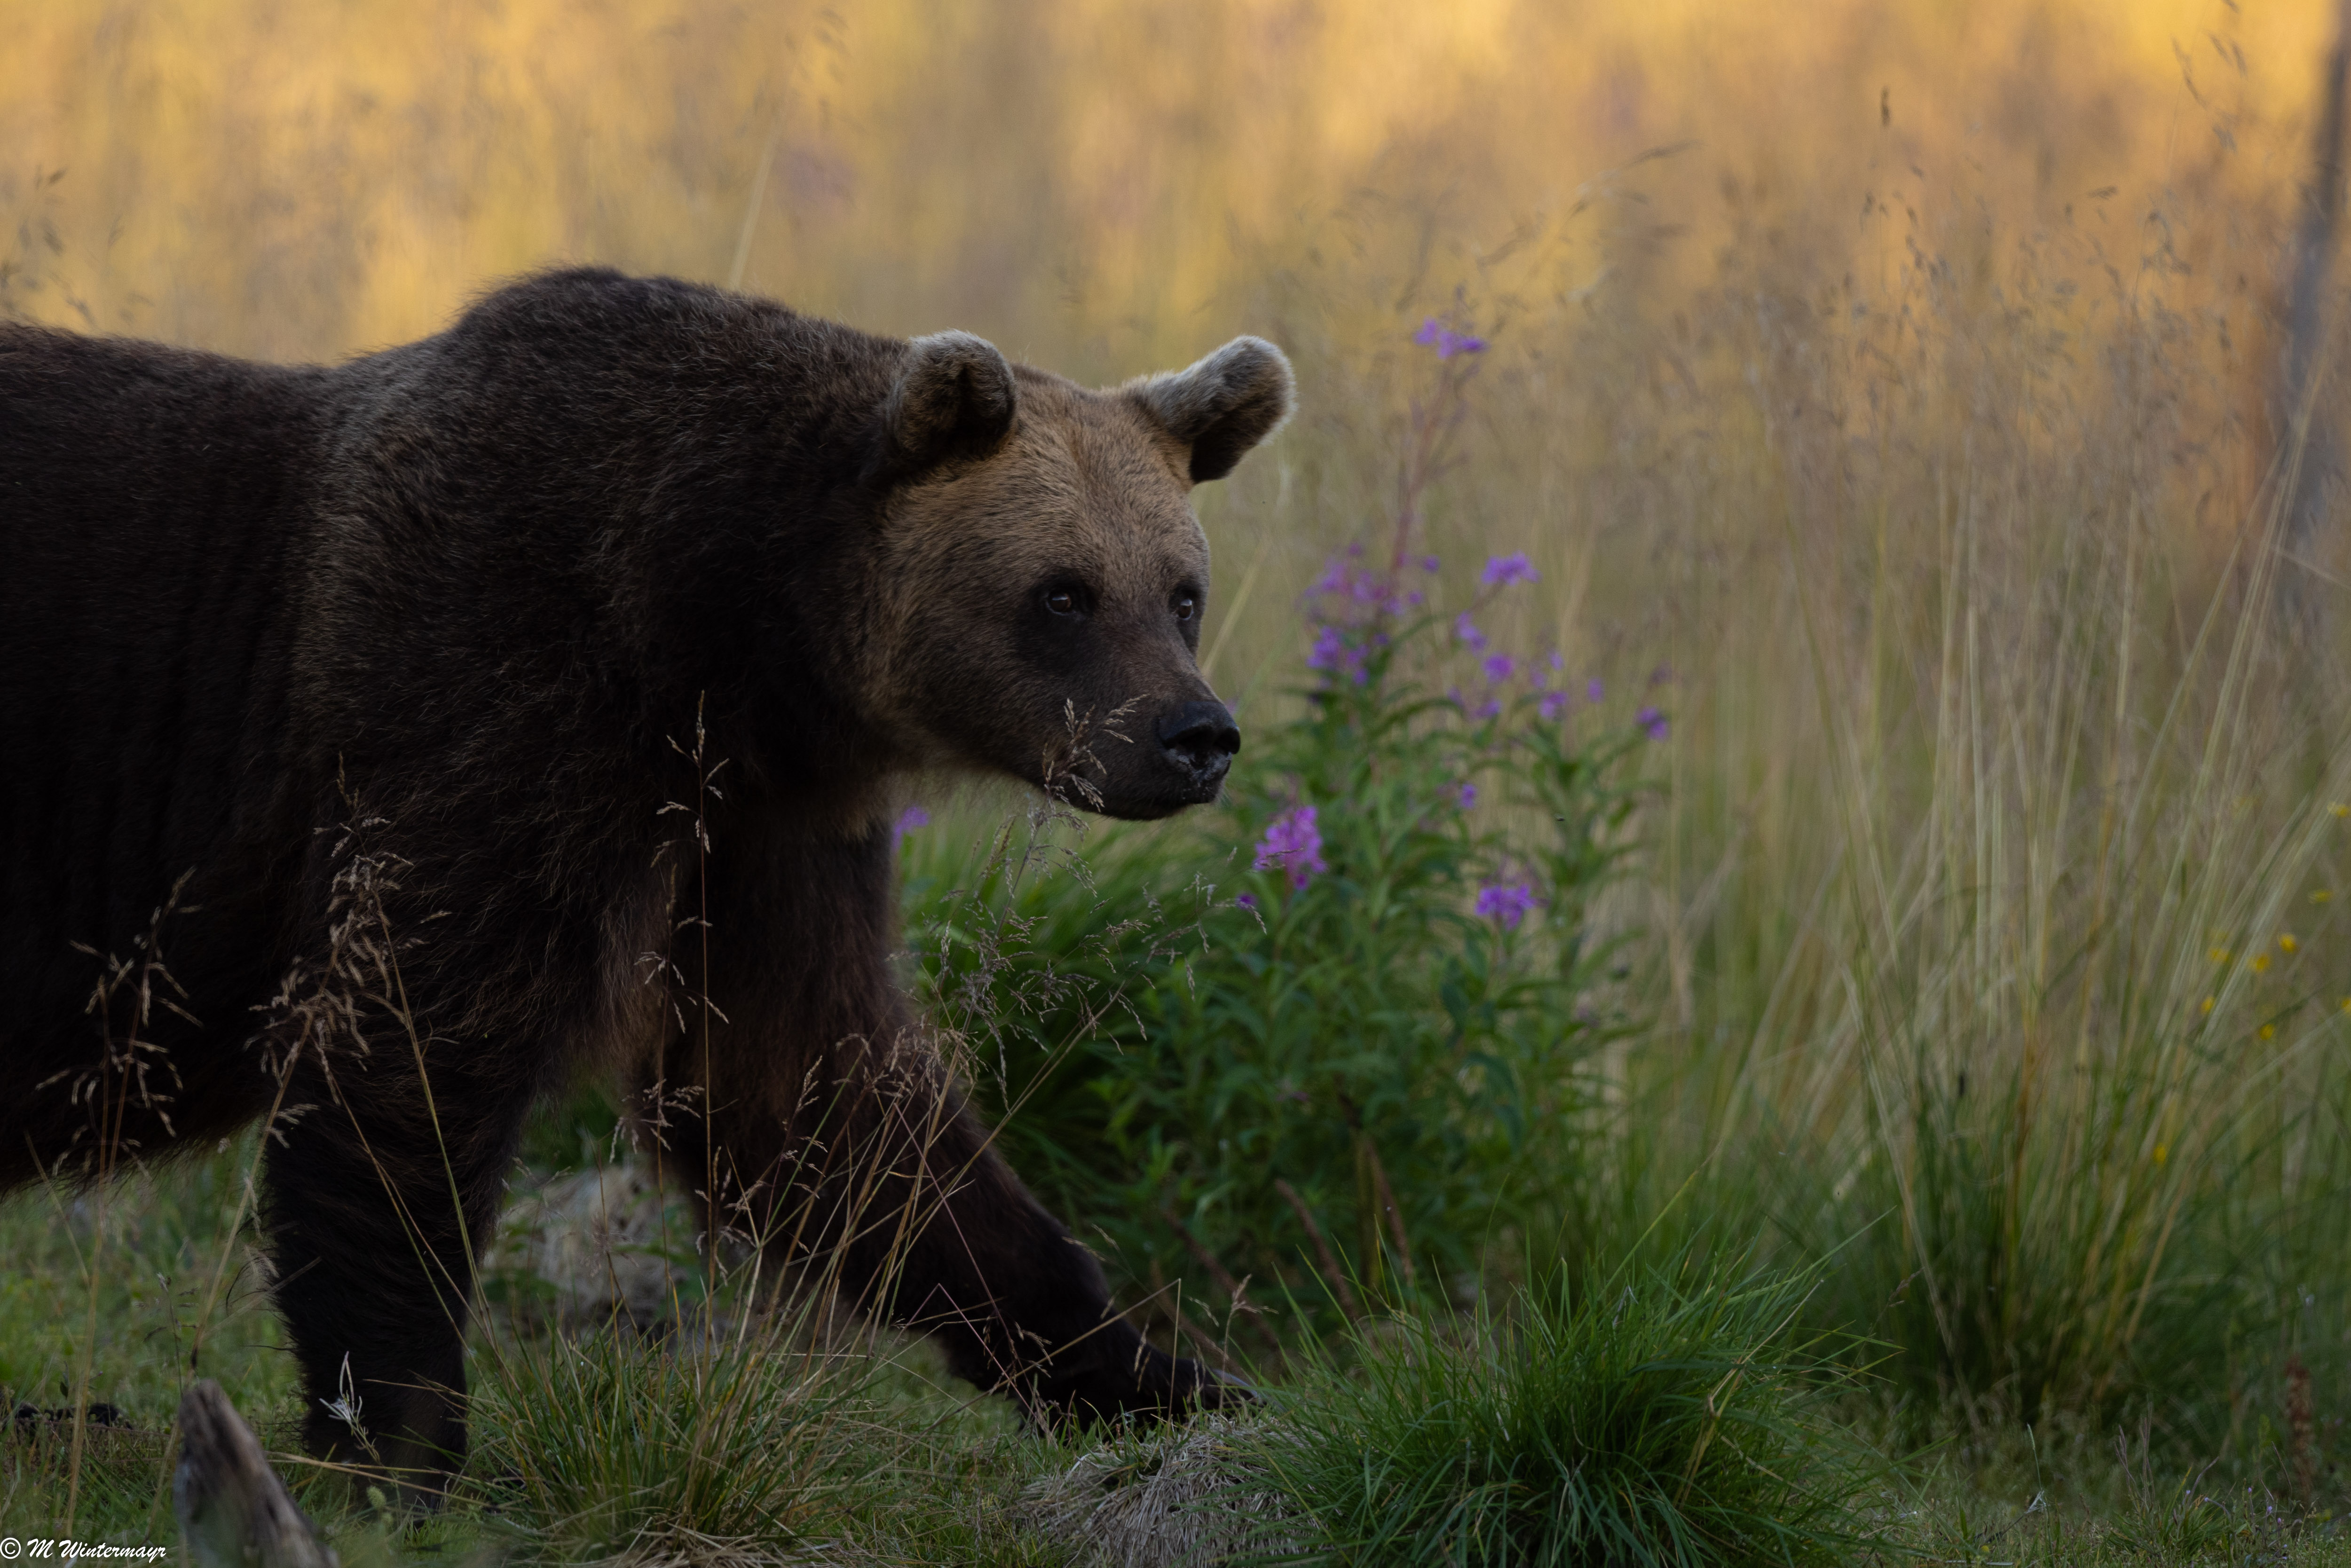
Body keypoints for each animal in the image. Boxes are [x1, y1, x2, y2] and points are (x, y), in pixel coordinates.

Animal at [0, 270, 1288, 1495]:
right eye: (1064, 591)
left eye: (1180, 590)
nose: (1195, 735)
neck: (724, 622)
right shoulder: (489, 694)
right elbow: (407, 1051)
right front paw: (402, 1438)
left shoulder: (756, 821)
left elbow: (816, 1093)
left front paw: (1162, 1374)